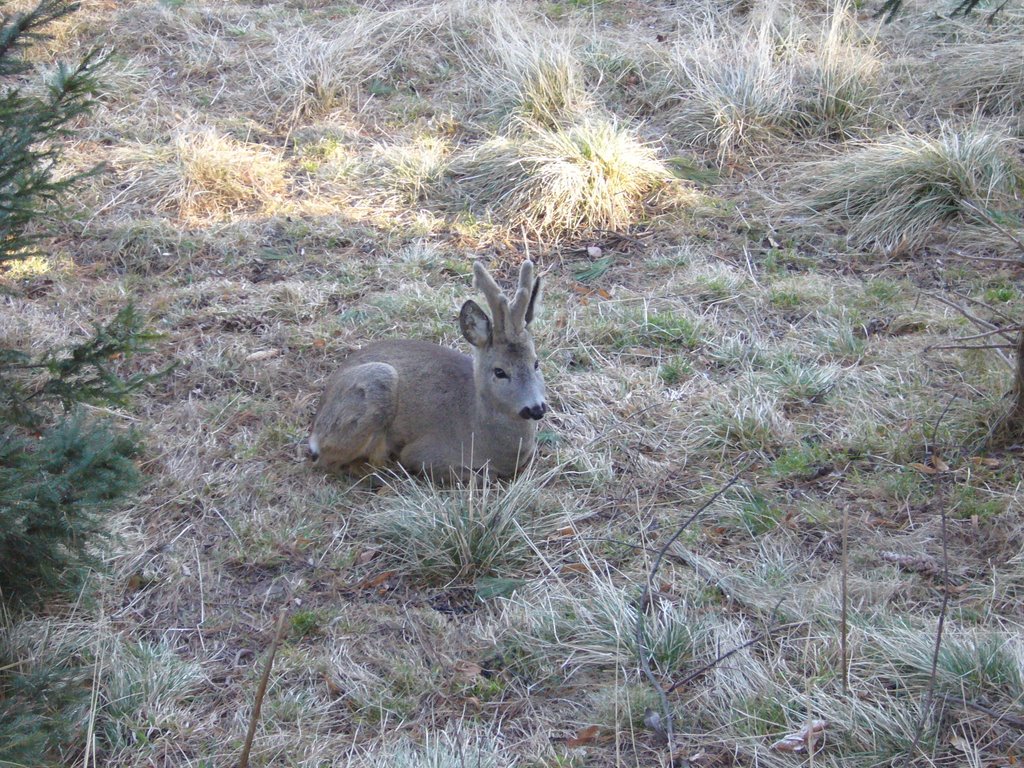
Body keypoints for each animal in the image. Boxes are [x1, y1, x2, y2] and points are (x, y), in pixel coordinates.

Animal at [307, 264, 548, 481]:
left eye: (536, 363)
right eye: (499, 371)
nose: (536, 408)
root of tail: (316, 425)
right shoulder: (425, 452)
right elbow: (483, 476)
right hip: (377, 381)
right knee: (327, 462)